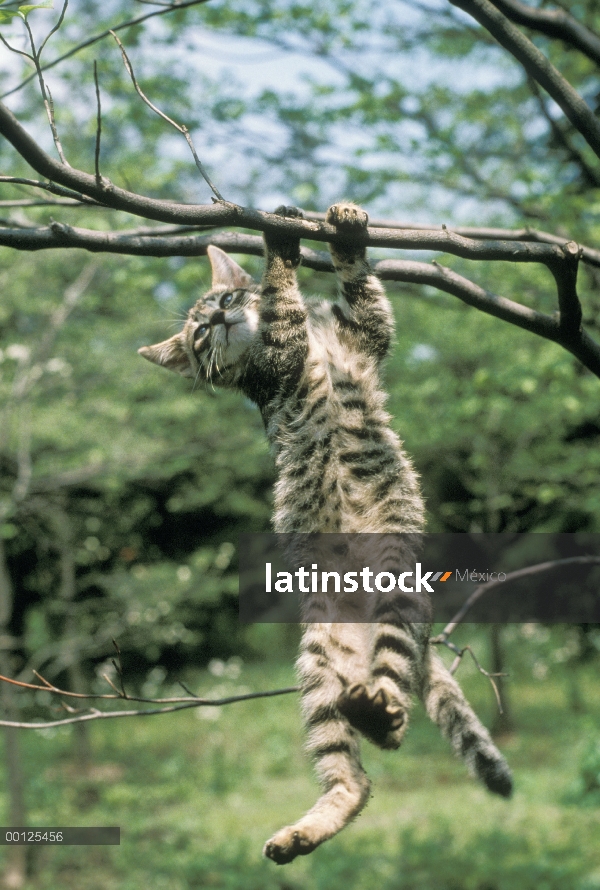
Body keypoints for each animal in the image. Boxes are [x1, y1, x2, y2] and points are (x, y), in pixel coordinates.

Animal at [139, 201, 510, 860]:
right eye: (199, 335)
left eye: (225, 296)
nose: (219, 315)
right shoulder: (280, 358)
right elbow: (283, 303)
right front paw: (280, 247)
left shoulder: (365, 336)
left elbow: (365, 294)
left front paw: (346, 228)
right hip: (317, 668)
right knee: (358, 770)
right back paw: (326, 797)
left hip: (392, 598)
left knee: (380, 724)